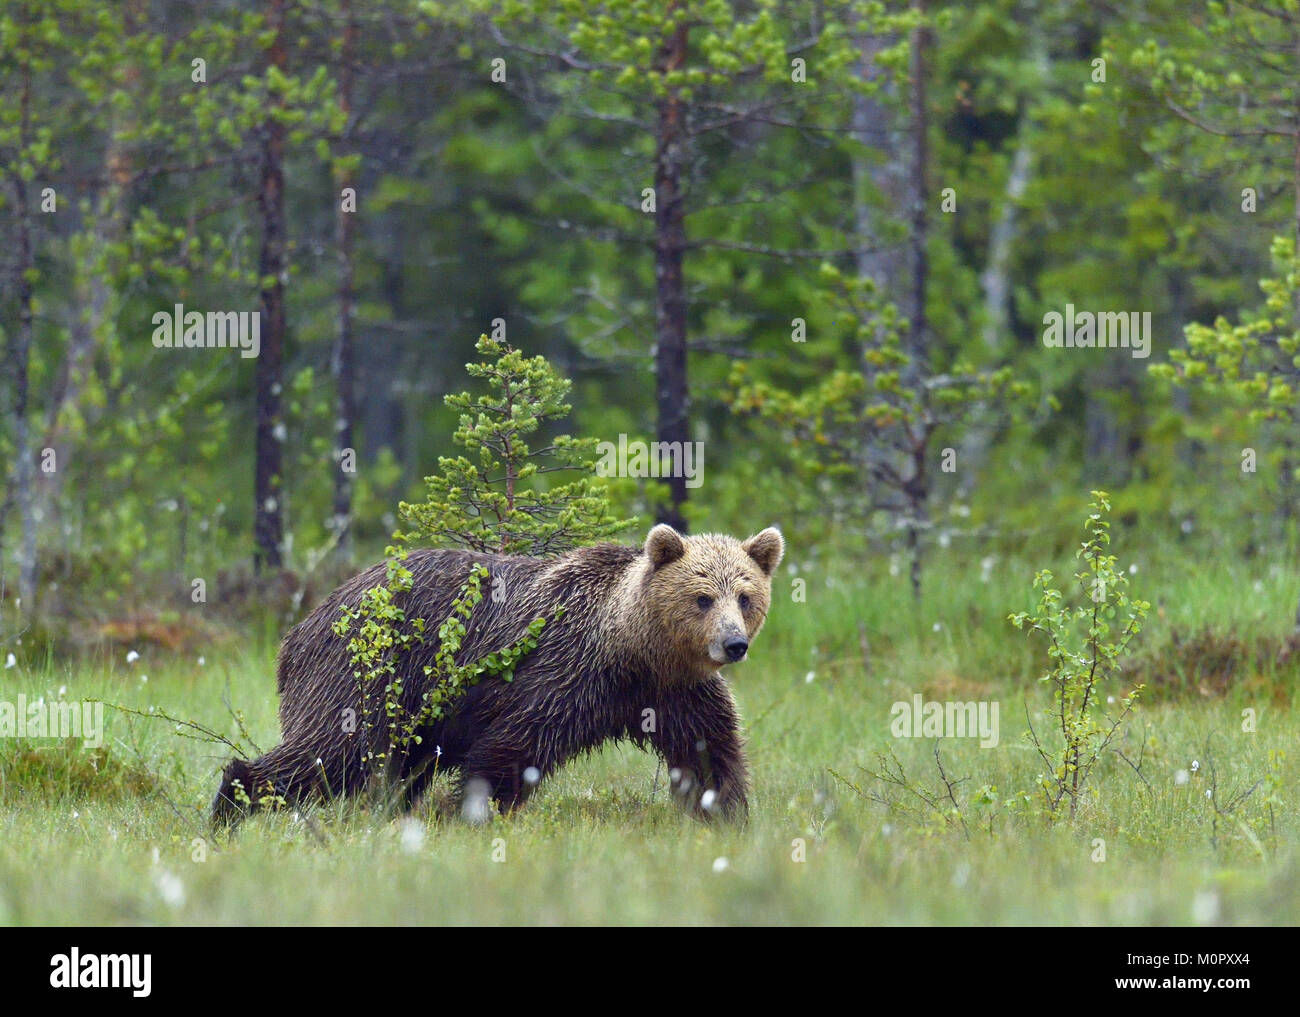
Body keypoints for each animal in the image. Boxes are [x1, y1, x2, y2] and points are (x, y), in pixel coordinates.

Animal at [212, 523, 784, 825]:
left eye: (745, 595)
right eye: (702, 597)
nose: (733, 644)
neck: (633, 651)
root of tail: (301, 626)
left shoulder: (676, 692)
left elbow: (709, 748)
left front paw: (724, 811)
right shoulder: (564, 672)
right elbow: (511, 747)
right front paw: (473, 811)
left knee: (390, 765)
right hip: (367, 670)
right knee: (333, 748)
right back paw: (233, 803)